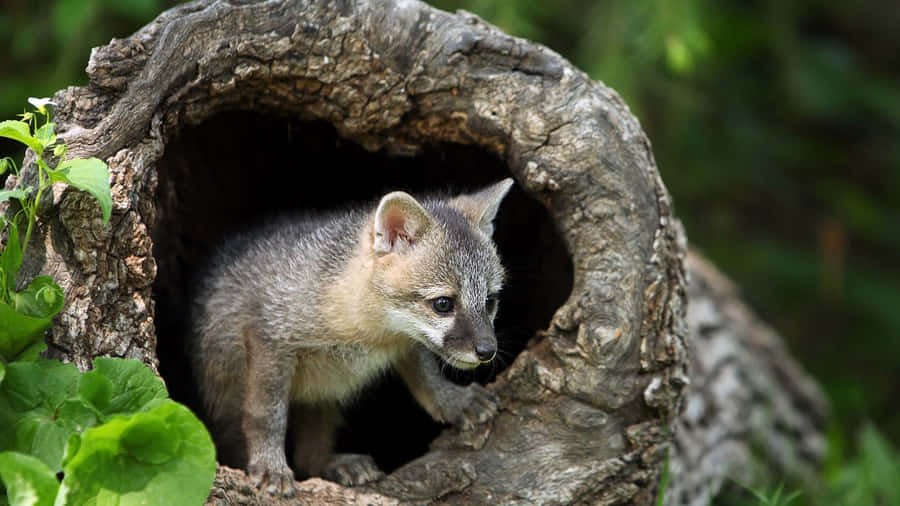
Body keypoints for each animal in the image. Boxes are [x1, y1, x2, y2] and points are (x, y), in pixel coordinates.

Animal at [191, 178, 514, 496]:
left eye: (490, 301)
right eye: (443, 304)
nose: (488, 350)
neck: (369, 334)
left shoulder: (406, 343)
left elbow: (428, 378)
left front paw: (453, 400)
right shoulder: (269, 338)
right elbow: (267, 417)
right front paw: (269, 465)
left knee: (309, 458)